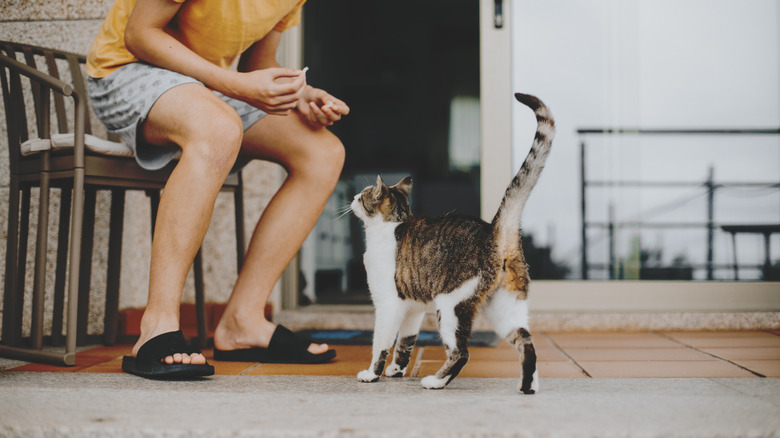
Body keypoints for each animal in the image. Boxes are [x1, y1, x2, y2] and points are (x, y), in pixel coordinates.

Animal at [350, 93, 552, 394]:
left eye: (362, 196)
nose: (351, 197)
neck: (388, 227)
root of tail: (495, 232)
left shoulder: (387, 304)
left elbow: (381, 343)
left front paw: (372, 373)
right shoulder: (412, 307)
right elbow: (405, 342)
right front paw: (396, 370)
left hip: (450, 305)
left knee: (461, 352)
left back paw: (435, 381)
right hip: (504, 306)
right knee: (526, 342)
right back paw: (528, 387)